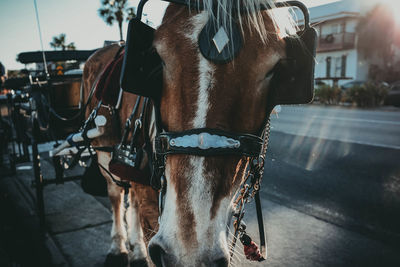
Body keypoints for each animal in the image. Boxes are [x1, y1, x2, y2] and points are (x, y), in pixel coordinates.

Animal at [82, 1, 312, 266]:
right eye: (157, 58)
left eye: (274, 69)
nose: (189, 250)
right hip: (103, 149)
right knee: (115, 195)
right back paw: (118, 247)